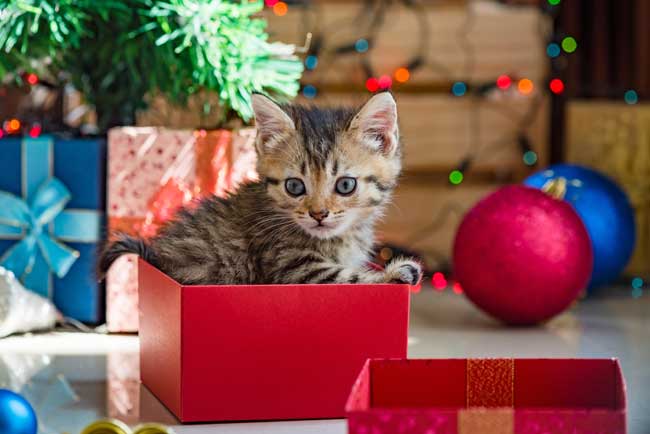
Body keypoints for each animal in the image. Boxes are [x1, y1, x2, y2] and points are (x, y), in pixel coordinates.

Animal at [96, 92, 420, 284]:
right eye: (294, 186)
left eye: (345, 185)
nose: (318, 214)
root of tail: (156, 254)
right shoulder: (294, 268)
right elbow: (351, 279)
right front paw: (397, 272)